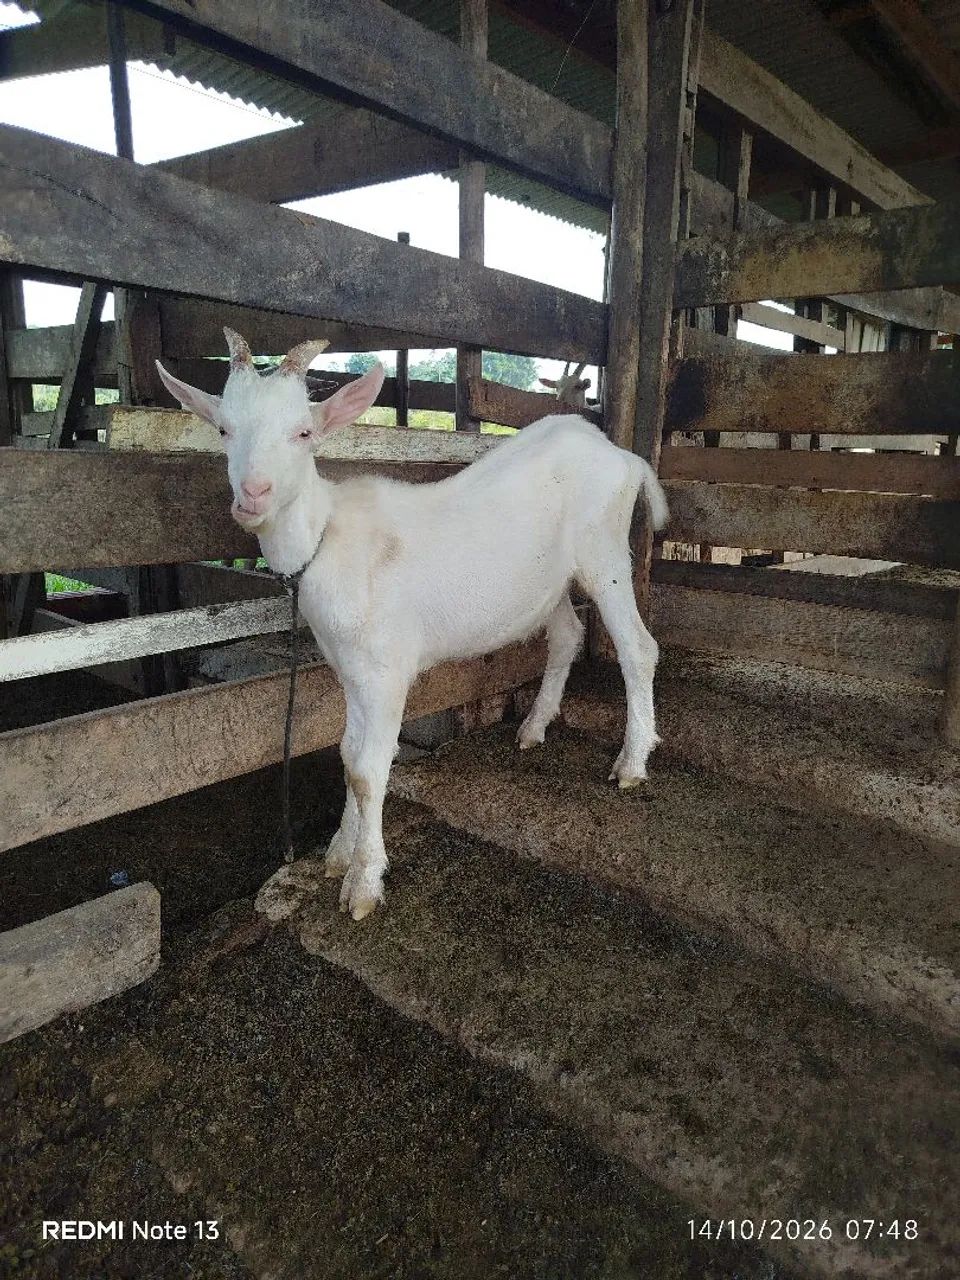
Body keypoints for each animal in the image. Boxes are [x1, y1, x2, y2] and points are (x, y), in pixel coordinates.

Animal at [156, 330, 669, 921]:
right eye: (223, 428)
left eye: (304, 432)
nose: (253, 495)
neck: (325, 539)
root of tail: (622, 456)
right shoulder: (350, 668)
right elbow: (348, 757)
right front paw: (340, 851)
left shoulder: (386, 670)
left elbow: (368, 768)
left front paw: (363, 883)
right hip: (549, 581)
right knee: (566, 635)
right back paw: (534, 728)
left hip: (604, 552)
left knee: (638, 647)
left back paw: (631, 761)